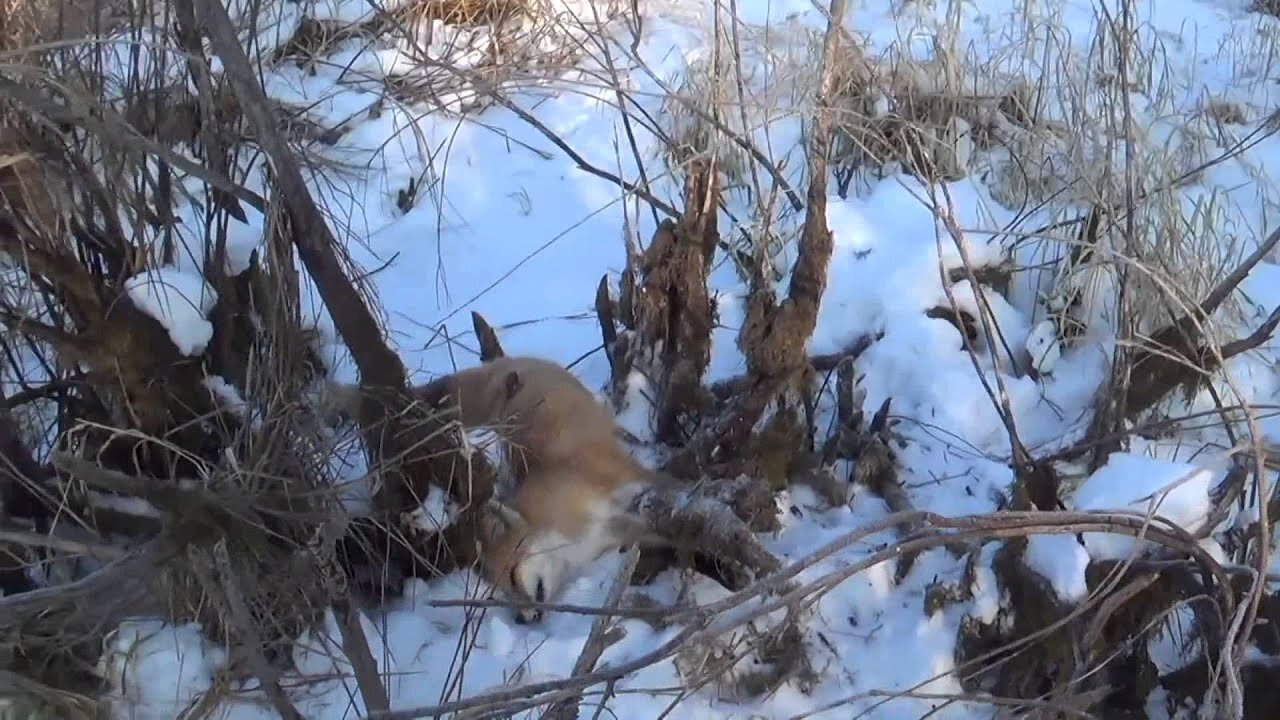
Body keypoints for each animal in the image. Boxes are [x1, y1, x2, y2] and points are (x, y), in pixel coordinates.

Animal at [325, 353, 675, 622]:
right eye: (501, 594)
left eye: (510, 576)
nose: (522, 620)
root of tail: (502, 365)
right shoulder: (615, 530)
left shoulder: (625, 479)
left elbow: (667, 488)